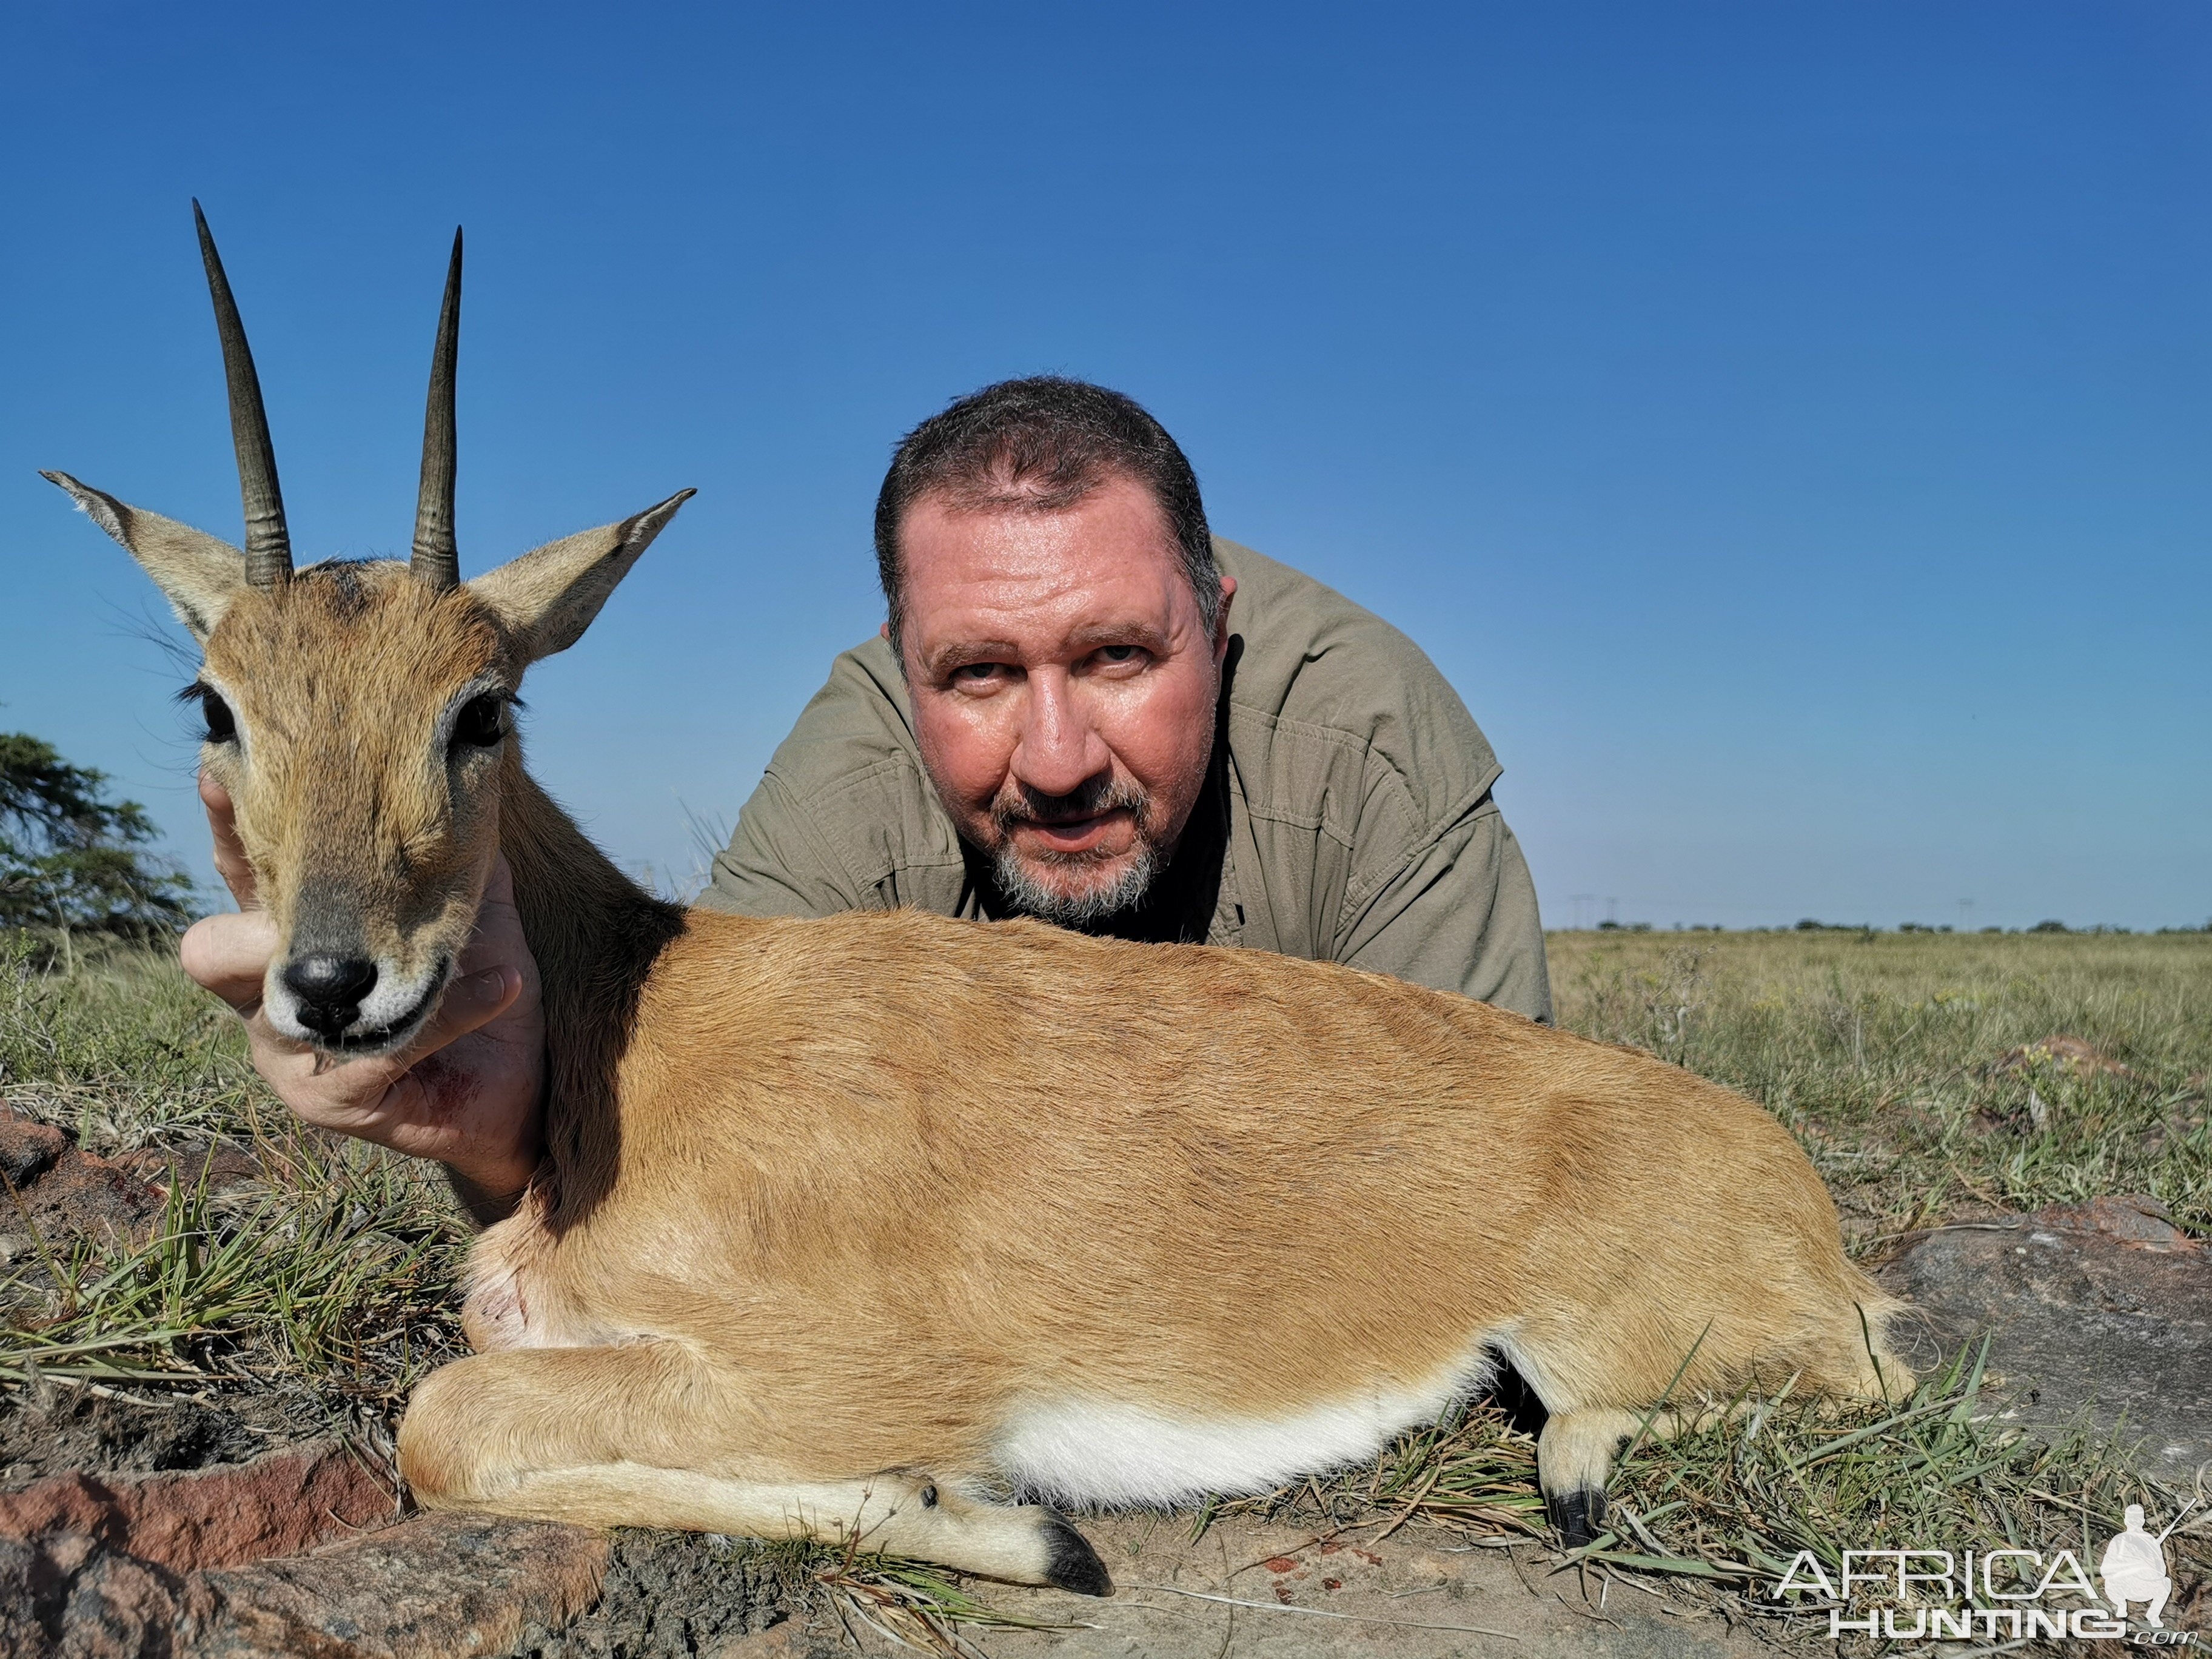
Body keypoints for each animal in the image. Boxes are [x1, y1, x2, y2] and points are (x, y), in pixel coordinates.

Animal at [56, 207, 1920, 1601]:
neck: (632, 1034)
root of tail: (1784, 1185)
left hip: (1620, 1338)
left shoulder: (846, 1364)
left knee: (1859, 1384)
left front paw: (1008, 1523)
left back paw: (1582, 1467)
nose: (331, 982)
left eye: (480, 706)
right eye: (216, 702)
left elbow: (441, 1425)